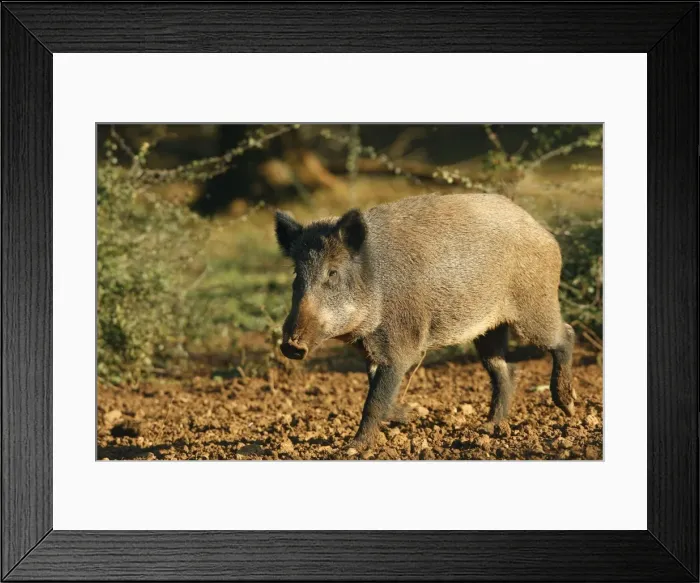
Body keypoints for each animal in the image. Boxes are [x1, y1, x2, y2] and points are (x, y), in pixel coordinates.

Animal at [274, 193, 575, 450]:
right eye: (297, 275)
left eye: (333, 273)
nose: (291, 346)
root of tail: (543, 231)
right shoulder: (371, 350)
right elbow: (378, 390)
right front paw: (405, 416)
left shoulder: (400, 346)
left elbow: (374, 400)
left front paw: (353, 448)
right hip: (490, 329)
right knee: (504, 369)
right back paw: (489, 428)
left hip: (534, 308)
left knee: (565, 336)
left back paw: (568, 406)